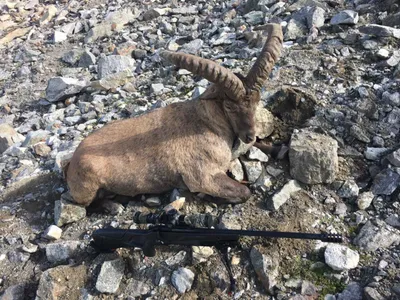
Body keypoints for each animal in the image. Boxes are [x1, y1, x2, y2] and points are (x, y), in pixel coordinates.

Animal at [65, 24, 282, 211]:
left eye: (257, 101)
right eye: (229, 106)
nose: (249, 134)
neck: (207, 122)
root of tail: (72, 162)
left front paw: (277, 149)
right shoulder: (202, 176)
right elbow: (244, 191)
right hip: (88, 191)